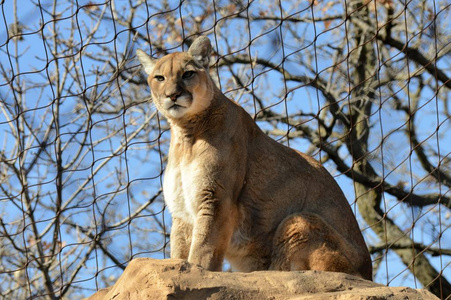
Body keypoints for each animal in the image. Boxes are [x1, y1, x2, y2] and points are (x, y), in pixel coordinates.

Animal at [138, 36, 374, 280]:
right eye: (160, 78)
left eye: (187, 74)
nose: (172, 95)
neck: (185, 134)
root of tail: (369, 272)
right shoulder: (182, 210)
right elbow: (179, 251)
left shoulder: (216, 198)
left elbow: (203, 249)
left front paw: (196, 274)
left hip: (299, 221)